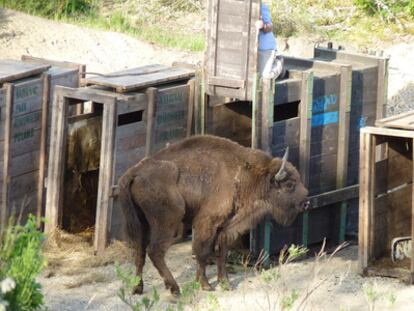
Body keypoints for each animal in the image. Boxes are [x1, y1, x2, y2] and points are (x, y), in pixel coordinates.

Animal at [118, 136, 308, 298]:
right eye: (290, 184)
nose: (306, 202)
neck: (242, 173)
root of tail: (134, 172)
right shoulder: (207, 223)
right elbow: (202, 252)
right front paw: (206, 285)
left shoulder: (225, 227)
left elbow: (221, 253)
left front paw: (225, 283)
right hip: (166, 221)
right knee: (155, 251)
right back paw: (174, 289)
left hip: (141, 223)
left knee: (140, 252)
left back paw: (137, 288)